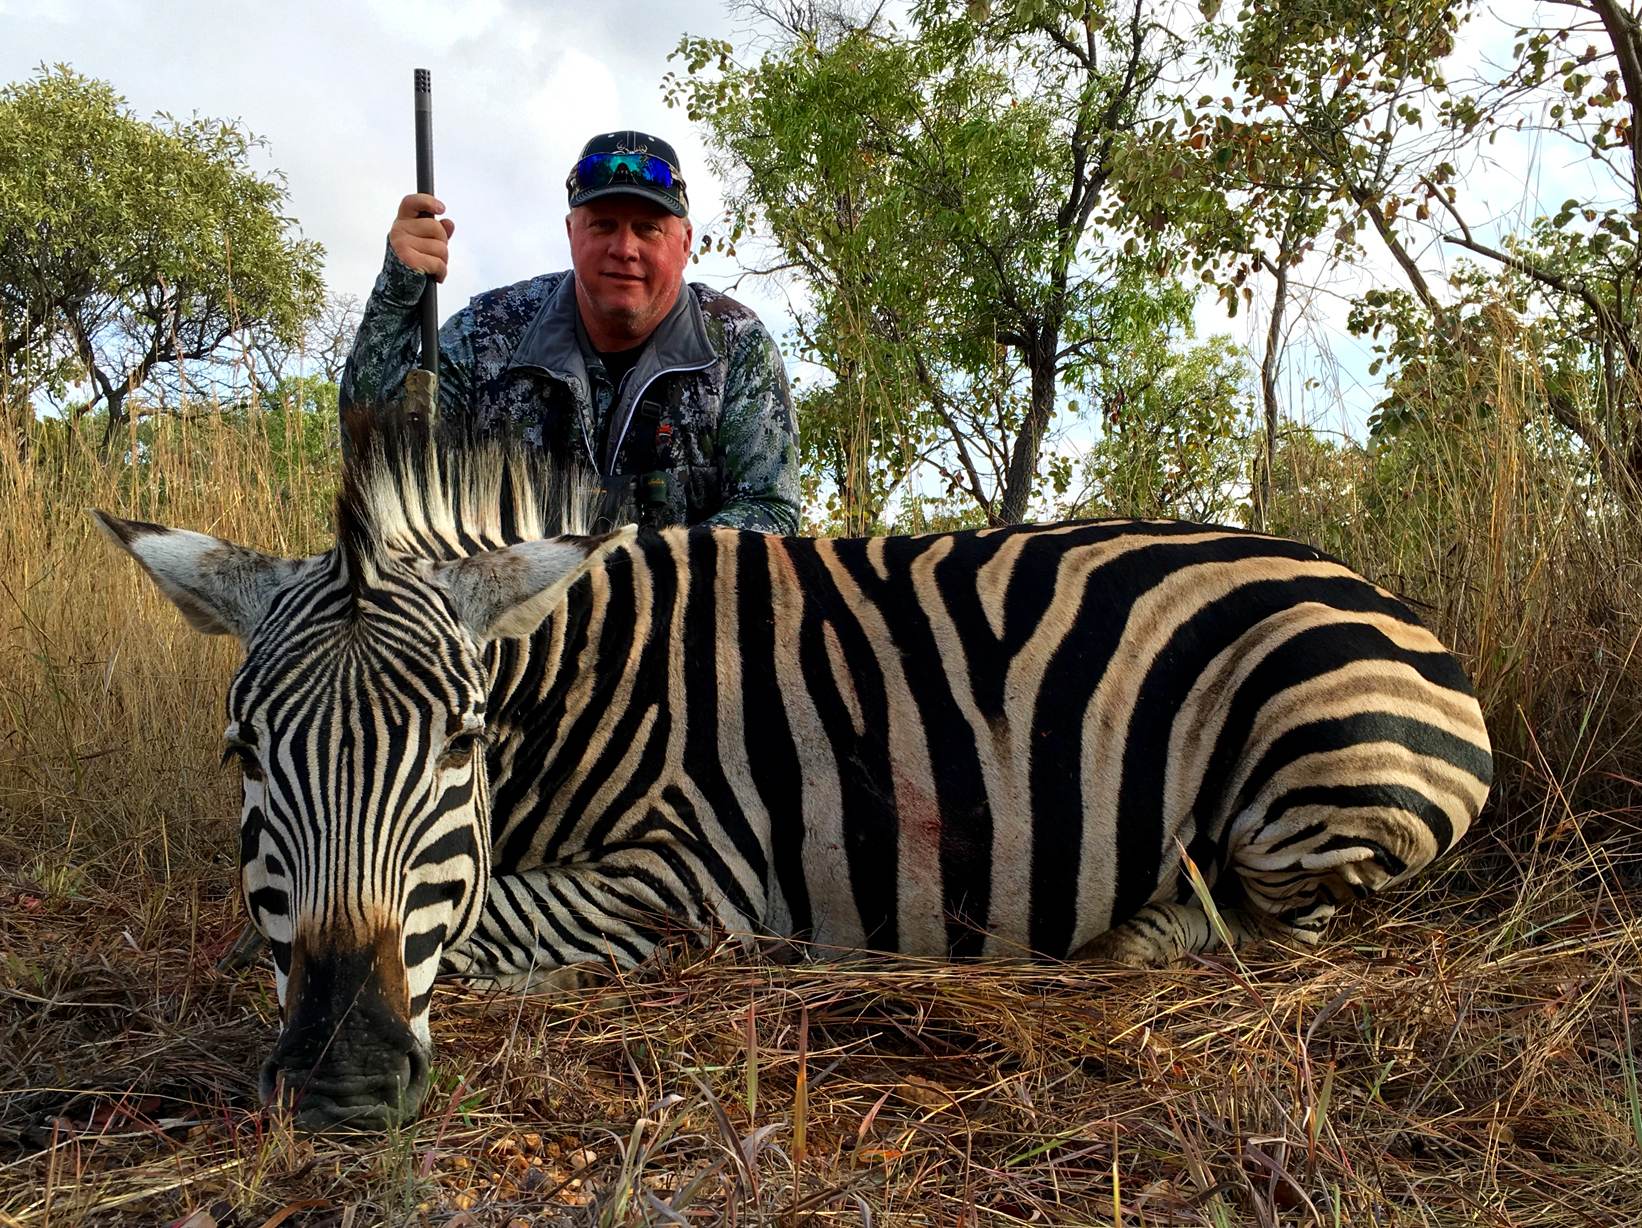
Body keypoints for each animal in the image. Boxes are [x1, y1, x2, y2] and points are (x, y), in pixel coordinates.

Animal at [95, 414, 1492, 1129]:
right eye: (242, 755)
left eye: (461, 745)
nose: (343, 1082)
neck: (584, 682)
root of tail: (1392, 604)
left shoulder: (691, 876)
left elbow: (488, 929)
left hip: (1315, 782)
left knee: (1268, 926)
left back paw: (1116, 946)